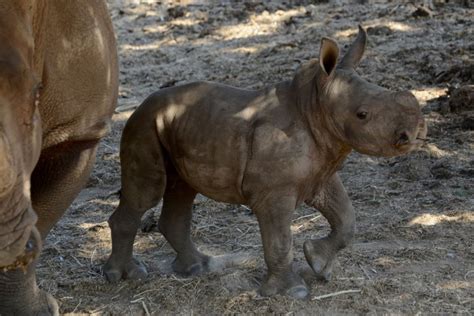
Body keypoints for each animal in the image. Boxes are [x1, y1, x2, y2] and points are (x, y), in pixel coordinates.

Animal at [105, 26, 428, 298]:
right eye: (362, 115)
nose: (415, 133)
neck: (315, 106)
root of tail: (139, 106)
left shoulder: (320, 174)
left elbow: (347, 219)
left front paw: (319, 264)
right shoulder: (273, 193)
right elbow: (280, 241)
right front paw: (292, 293)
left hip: (174, 125)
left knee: (182, 189)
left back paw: (201, 267)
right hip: (144, 126)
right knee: (148, 192)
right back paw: (127, 276)